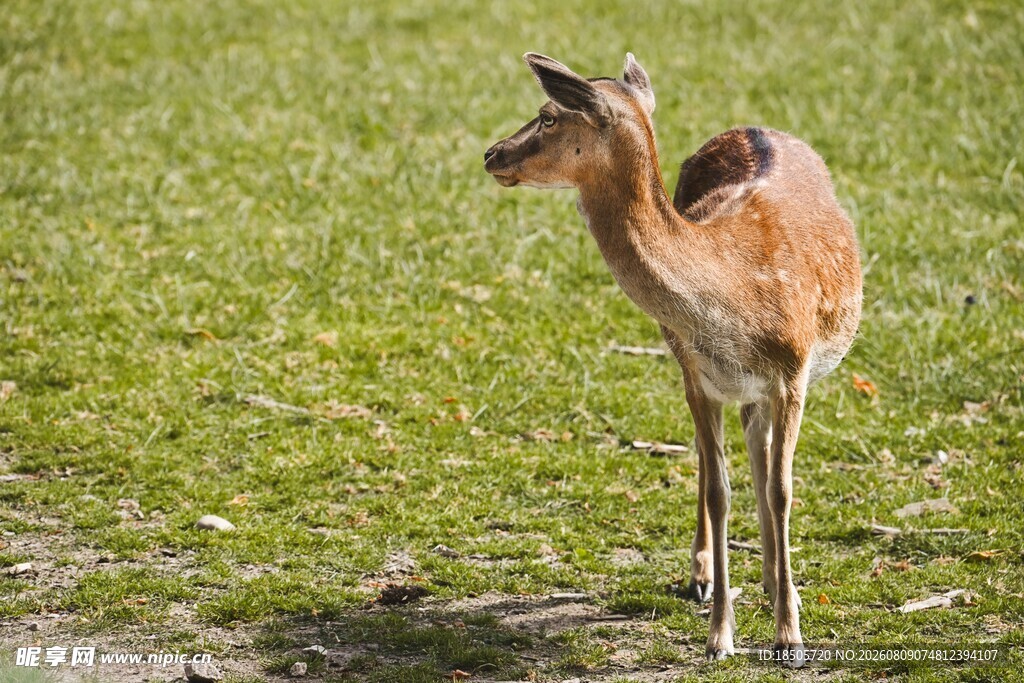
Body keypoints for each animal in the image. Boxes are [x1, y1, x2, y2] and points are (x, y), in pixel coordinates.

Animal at [484, 53, 862, 664]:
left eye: (547, 115)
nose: (492, 153)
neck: (735, 296)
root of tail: (751, 126)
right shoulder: (698, 377)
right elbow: (718, 490)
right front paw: (719, 637)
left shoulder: (794, 371)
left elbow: (781, 490)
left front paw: (790, 636)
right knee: (720, 461)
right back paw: (709, 577)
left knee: (759, 454)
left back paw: (774, 582)